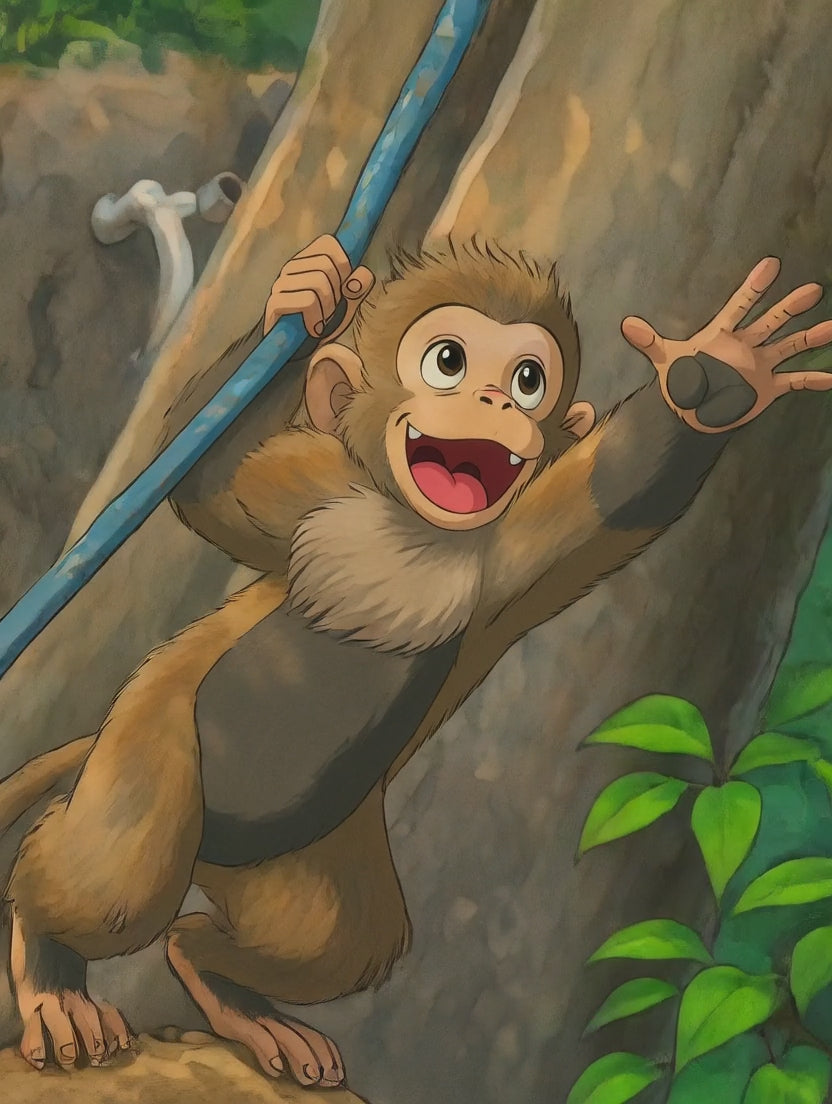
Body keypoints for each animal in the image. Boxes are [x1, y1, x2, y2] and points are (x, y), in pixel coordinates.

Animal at [1, 235, 831, 1087]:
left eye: (528, 380)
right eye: (448, 361)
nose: (495, 401)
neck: (414, 535)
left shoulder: (513, 549)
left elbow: (620, 488)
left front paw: (719, 379)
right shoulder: (311, 487)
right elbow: (211, 490)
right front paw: (304, 298)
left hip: (310, 859)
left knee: (329, 941)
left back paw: (225, 986)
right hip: (147, 740)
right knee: (116, 884)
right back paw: (51, 967)